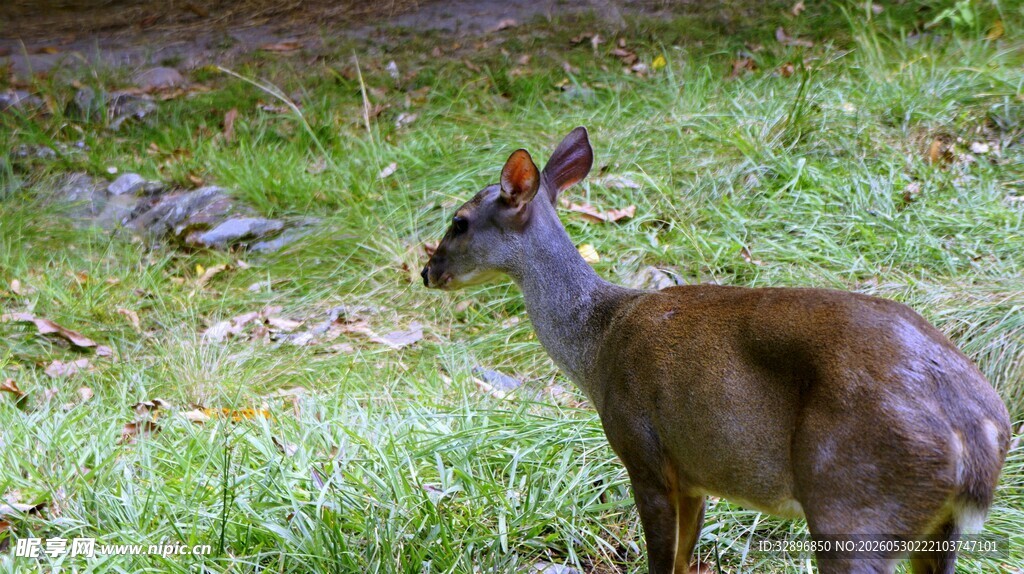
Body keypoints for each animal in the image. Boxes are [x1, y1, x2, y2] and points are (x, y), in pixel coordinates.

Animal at [420, 127, 1011, 574]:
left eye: (458, 221)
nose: (427, 272)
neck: (599, 341)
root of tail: (977, 433)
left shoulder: (642, 449)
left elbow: (661, 562)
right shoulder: (694, 474)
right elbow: (685, 561)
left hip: (852, 505)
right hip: (935, 529)